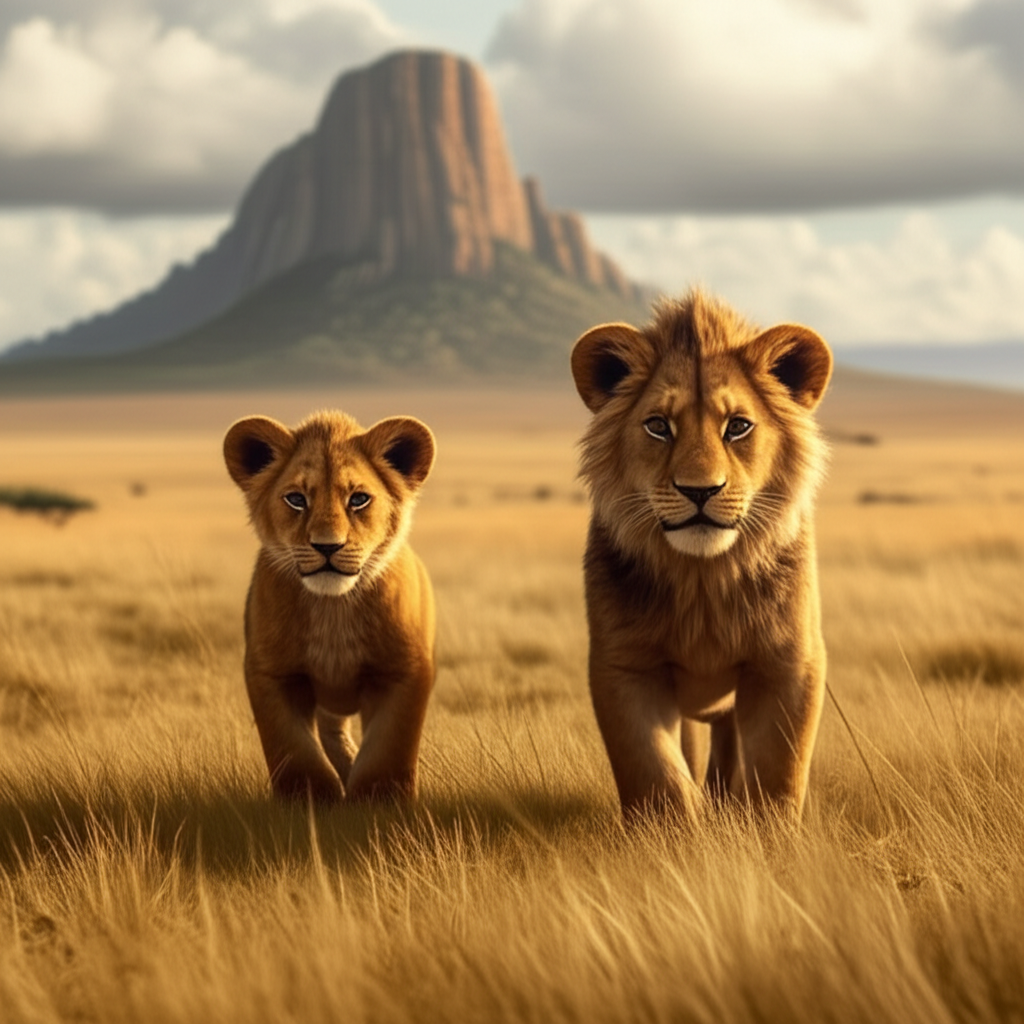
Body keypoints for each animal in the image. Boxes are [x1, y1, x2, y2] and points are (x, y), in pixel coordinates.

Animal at [223, 410, 436, 803]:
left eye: (359, 499)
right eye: (295, 499)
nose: (327, 546)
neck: (333, 608)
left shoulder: (404, 669)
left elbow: (389, 748)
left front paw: (379, 800)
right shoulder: (271, 672)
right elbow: (293, 748)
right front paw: (310, 799)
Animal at [570, 289, 832, 823]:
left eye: (738, 427)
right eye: (657, 426)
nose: (699, 491)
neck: (703, 580)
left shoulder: (789, 662)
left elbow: (776, 772)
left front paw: (767, 834)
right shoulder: (624, 665)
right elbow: (655, 773)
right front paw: (676, 833)